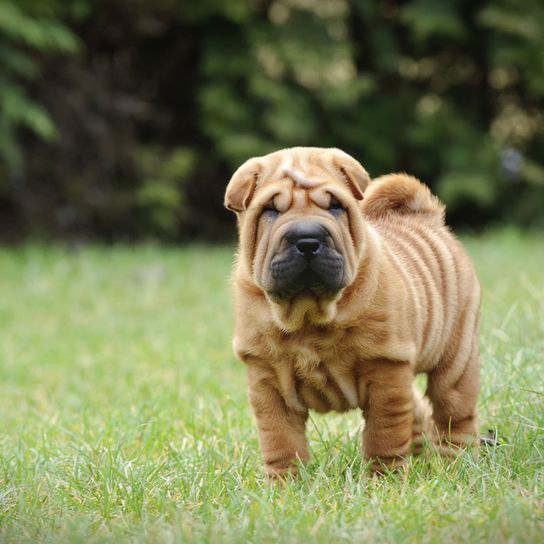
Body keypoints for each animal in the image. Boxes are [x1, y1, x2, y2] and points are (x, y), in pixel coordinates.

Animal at [224, 148, 480, 476]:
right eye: (271, 210)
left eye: (335, 206)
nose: (307, 239)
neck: (308, 314)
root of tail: (426, 217)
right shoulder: (267, 379)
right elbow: (281, 440)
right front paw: (286, 483)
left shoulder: (386, 367)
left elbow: (384, 434)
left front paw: (385, 479)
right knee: (418, 410)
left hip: (457, 357)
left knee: (453, 413)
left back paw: (457, 464)